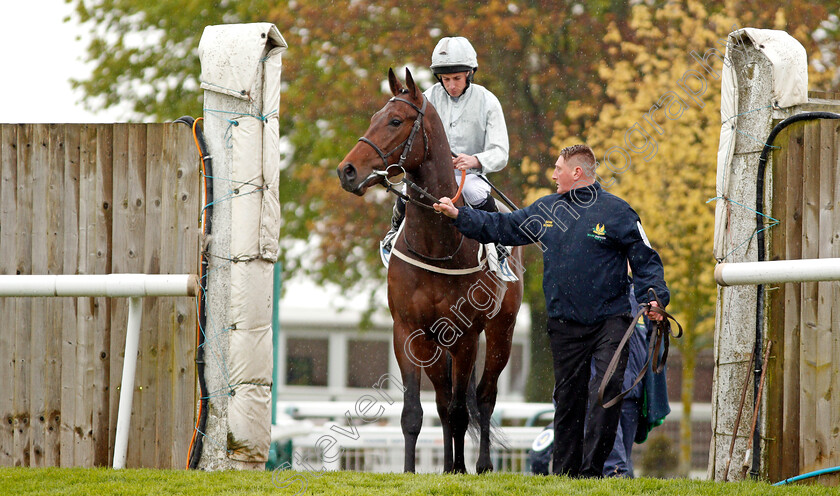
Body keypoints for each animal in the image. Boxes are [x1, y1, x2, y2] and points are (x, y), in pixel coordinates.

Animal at [336, 67, 520, 472]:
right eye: (373, 117)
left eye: (395, 121)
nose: (346, 171)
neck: (438, 244)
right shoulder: (409, 331)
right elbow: (415, 413)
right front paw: (412, 471)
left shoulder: (466, 336)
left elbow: (461, 409)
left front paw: (462, 469)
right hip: (438, 343)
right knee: (443, 399)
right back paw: (450, 465)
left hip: (501, 332)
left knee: (485, 396)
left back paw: (481, 465)